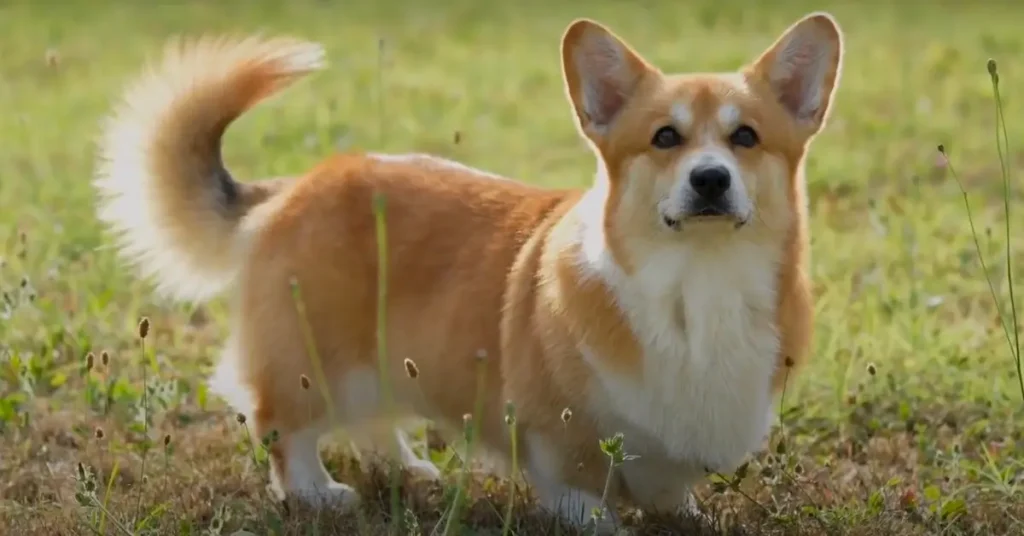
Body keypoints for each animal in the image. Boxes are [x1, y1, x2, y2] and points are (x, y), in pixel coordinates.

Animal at [94, 11, 839, 532]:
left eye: (745, 137)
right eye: (665, 138)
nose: (710, 180)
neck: (698, 284)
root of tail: (289, 188)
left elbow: (671, 492)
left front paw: (685, 514)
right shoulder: (557, 437)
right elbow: (581, 494)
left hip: (381, 359)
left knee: (373, 421)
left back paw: (407, 468)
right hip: (316, 358)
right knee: (284, 426)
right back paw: (318, 493)